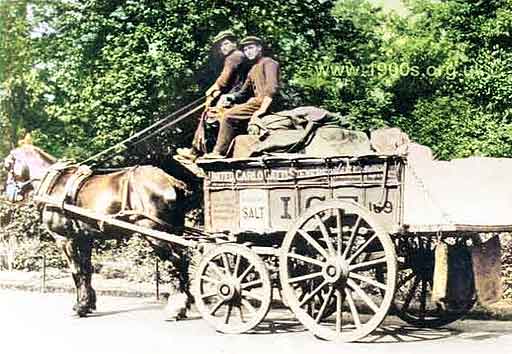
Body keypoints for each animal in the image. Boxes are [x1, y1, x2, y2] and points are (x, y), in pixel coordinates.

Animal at [3, 144, 200, 318]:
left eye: (7, 167)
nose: (7, 194)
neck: (55, 183)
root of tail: (172, 182)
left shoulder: (64, 239)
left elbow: (76, 271)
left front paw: (80, 306)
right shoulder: (84, 238)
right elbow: (87, 270)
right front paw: (88, 303)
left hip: (154, 232)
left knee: (175, 261)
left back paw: (177, 307)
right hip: (174, 231)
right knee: (183, 261)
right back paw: (187, 301)